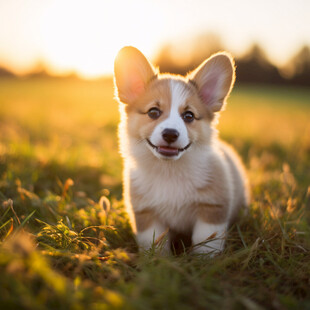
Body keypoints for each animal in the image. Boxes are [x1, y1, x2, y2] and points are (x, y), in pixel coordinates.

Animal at [114, 46, 249, 254]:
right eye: (153, 112)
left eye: (189, 116)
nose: (170, 134)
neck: (170, 171)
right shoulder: (147, 214)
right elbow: (156, 244)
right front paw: (158, 260)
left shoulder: (212, 210)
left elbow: (206, 243)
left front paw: (203, 260)